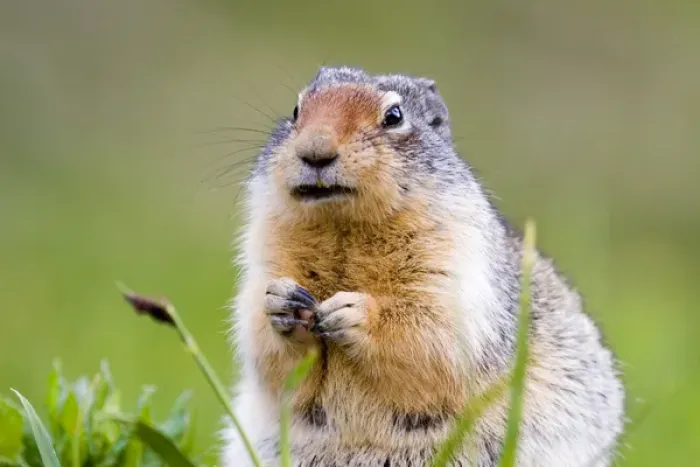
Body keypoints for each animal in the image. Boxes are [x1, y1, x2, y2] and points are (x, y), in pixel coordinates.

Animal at [221, 66, 625, 466]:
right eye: (296, 110)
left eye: (394, 116)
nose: (315, 151)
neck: (343, 229)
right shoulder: (265, 253)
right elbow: (263, 347)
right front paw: (282, 303)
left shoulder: (454, 263)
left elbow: (436, 331)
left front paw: (354, 314)